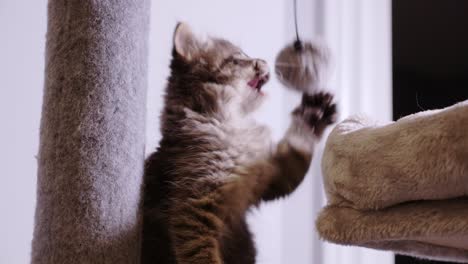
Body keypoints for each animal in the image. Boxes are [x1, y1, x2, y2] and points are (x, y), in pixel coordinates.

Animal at [142, 23, 336, 264]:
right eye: (240, 58)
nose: (263, 59)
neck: (233, 126)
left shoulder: (269, 180)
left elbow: (298, 148)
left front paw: (313, 116)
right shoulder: (193, 210)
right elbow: (202, 255)